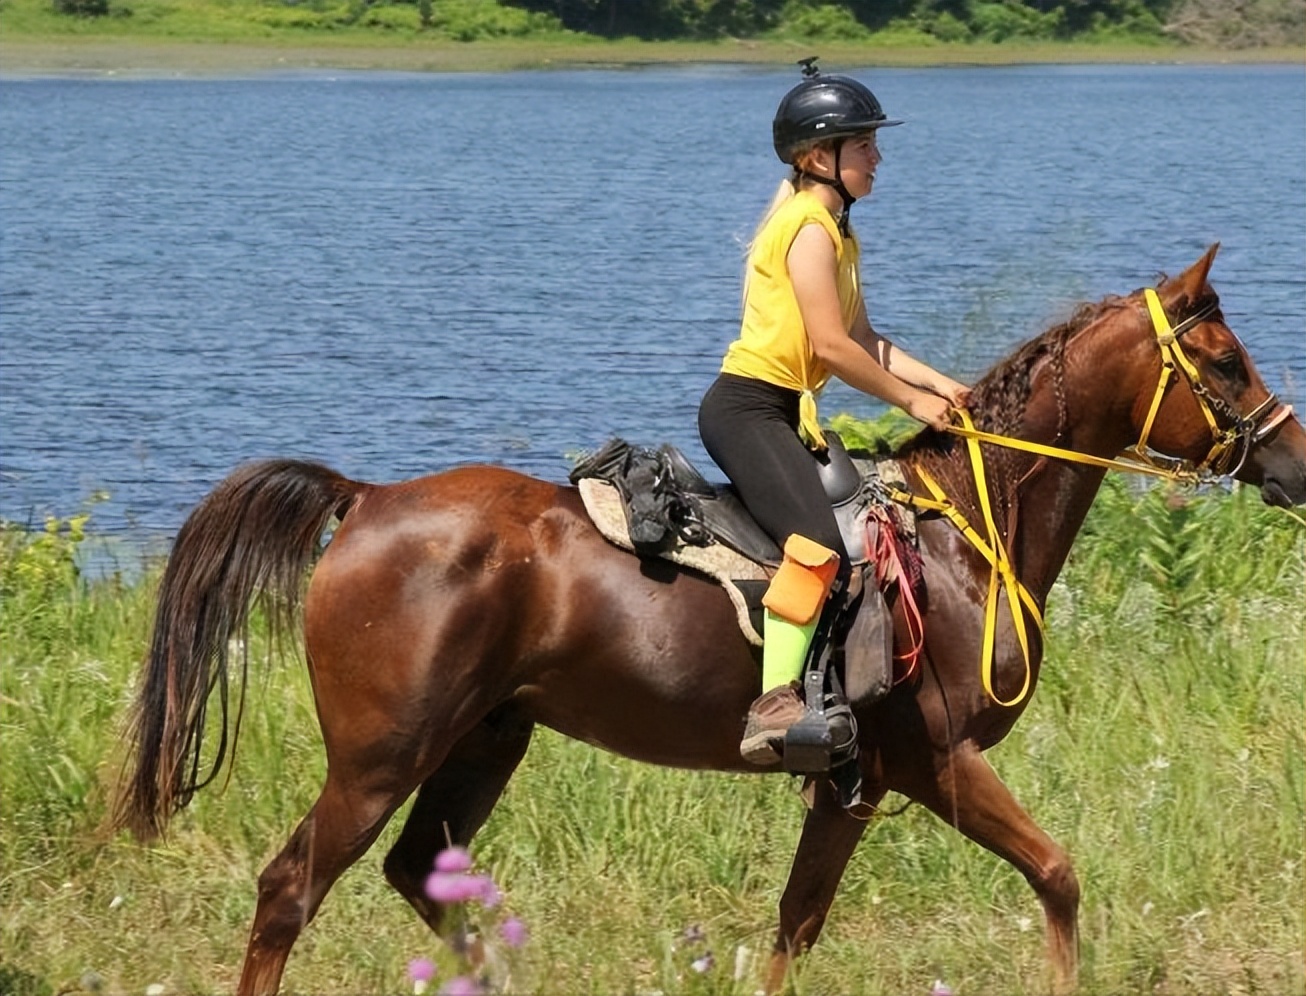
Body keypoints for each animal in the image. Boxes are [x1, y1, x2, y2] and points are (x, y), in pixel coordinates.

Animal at [112, 244, 1306, 996]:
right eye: (1225, 360)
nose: (1294, 461)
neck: (966, 535)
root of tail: (365, 500)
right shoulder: (935, 760)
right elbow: (1057, 878)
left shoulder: (856, 780)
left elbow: (796, 922)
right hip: (379, 756)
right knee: (290, 890)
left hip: (483, 742)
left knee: (424, 880)